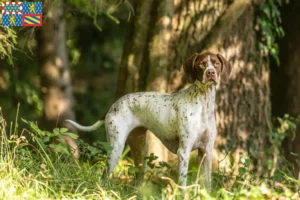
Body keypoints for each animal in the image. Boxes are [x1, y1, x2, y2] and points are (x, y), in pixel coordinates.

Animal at [67, 52, 232, 190]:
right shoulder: (183, 152)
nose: (210, 72)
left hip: (141, 152)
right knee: (104, 176)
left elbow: (207, 184)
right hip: (116, 148)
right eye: (202, 64)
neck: (203, 105)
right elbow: (182, 184)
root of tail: (114, 104)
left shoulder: (206, 152)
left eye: (216, 64)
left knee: (137, 179)